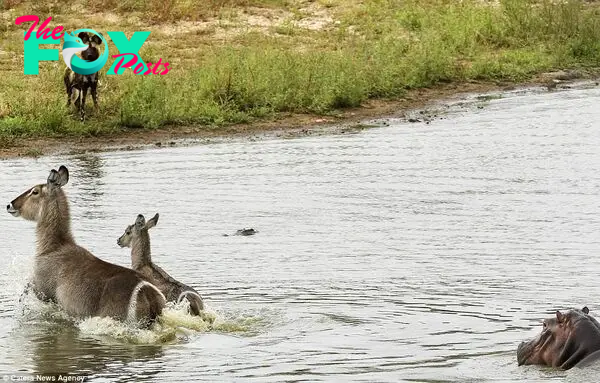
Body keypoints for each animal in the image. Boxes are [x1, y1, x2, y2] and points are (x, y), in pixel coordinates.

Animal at [6, 166, 166, 328]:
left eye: (35, 191)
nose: (9, 205)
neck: (55, 246)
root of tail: (147, 292)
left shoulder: (41, 288)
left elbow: (26, 290)